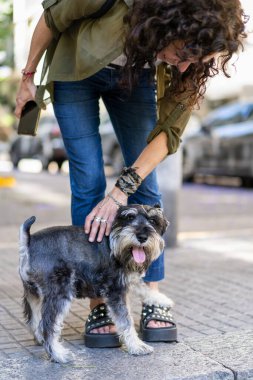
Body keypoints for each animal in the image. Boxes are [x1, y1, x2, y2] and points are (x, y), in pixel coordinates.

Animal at [18, 205, 173, 362]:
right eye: (129, 217)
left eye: (153, 221)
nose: (142, 237)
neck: (114, 242)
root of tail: (29, 243)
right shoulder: (115, 290)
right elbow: (126, 320)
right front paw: (137, 345)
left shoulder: (128, 278)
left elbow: (142, 287)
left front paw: (161, 299)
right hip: (60, 293)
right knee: (47, 325)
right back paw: (59, 354)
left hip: (33, 292)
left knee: (34, 319)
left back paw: (41, 340)